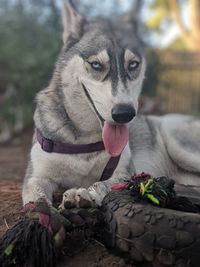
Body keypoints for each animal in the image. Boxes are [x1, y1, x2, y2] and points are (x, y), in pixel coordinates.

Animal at [22, 0, 200, 209]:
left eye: (133, 64)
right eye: (96, 65)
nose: (124, 114)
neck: (84, 141)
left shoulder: (124, 173)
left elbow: (102, 184)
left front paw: (85, 194)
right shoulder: (36, 177)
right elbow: (37, 197)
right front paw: (41, 210)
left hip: (180, 147)